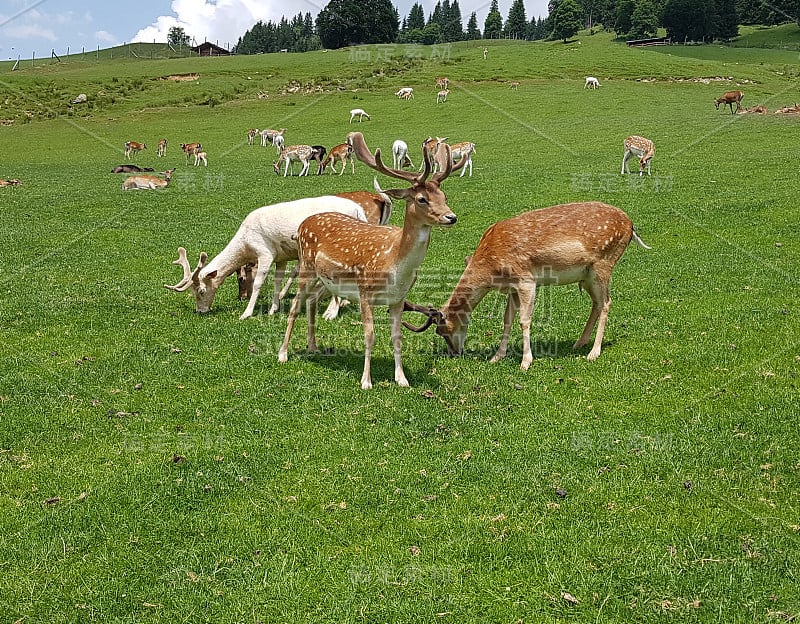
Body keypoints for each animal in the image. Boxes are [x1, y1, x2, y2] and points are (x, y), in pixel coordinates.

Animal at [280, 130, 468, 390]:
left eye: (444, 195)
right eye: (422, 199)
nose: (451, 217)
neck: (394, 264)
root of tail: (302, 225)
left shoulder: (398, 298)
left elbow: (397, 336)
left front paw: (402, 379)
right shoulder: (365, 292)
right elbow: (369, 335)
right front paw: (366, 381)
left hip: (326, 279)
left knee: (311, 302)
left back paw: (313, 346)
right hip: (306, 268)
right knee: (295, 306)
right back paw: (283, 354)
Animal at [404, 200, 652, 368]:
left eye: (443, 330)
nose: (455, 353)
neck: (491, 267)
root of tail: (631, 226)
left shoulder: (525, 279)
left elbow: (524, 320)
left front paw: (526, 362)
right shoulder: (512, 287)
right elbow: (507, 319)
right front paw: (496, 357)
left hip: (604, 264)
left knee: (607, 302)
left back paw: (594, 352)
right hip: (588, 275)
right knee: (597, 303)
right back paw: (579, 343)